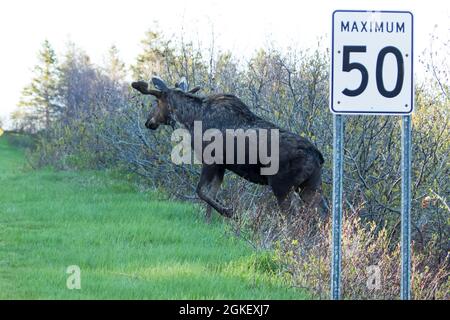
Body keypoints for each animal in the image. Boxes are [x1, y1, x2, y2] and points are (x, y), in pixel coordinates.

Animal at [131, 76, 326, 221]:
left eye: (156, 102)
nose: (148, 121)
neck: (191, 120)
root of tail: (317, 157)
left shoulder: (210, 161)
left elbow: (201, 191)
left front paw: (229, 212)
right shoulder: (221, 166)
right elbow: (211, 194)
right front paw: (208, 221)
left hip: (282, 186)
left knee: (293, 217)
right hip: (310, 185)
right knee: (322, 213)